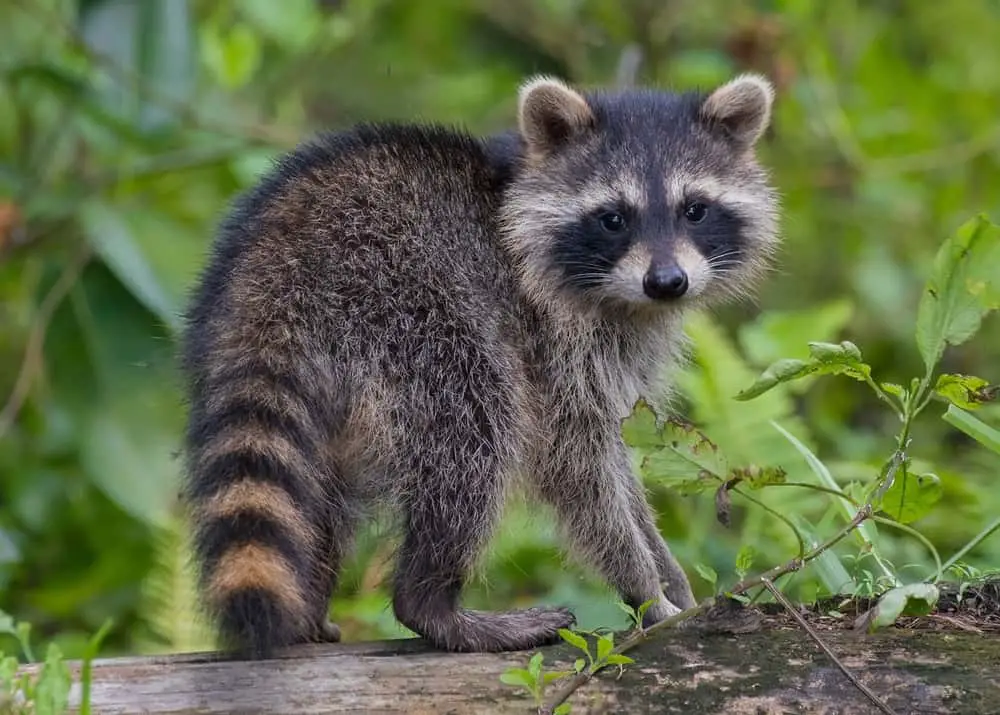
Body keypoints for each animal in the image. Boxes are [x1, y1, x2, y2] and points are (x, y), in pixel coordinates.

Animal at [182, 74, 780, 660]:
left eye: (694, 209)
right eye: (613, 220)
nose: (667, 282)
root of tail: (278, 267)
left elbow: (614, 456)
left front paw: (668, 574)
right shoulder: (550, 337)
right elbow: (576, 465)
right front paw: (646, 588)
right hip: (413, 313)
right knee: (474, 432)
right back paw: (432, 602)